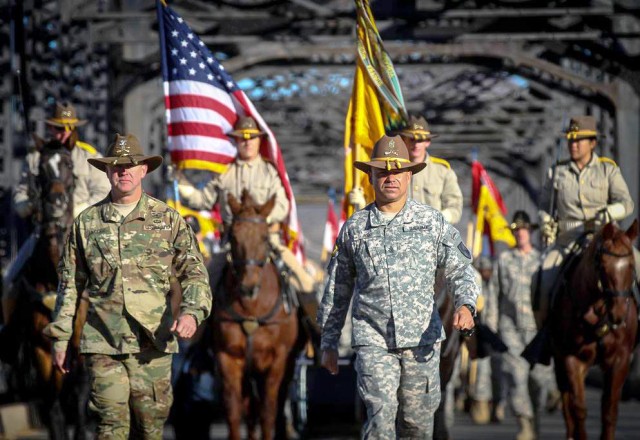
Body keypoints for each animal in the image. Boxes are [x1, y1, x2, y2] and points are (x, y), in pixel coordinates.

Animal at [7, 140, 89, 440]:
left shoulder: (80, 350)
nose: (56, 202)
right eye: (40, 169)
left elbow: (80, 401)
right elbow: (53, 406)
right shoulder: (41, 351)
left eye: (68, 164)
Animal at [211, 190, 298, 440]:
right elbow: (233, 411)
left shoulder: (277, 361)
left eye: (264, 238)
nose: (248, 286)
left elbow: (268, 411)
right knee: (249, 410)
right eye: (233, 237)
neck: (252, 309)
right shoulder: (228, 359)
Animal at [552, 222, 636, 438]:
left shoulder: (621, 359)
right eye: (603, 266)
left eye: (632, 265)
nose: (619, 314)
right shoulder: (571, 358)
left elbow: (609, 411)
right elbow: (578, 409)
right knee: (567, 404)